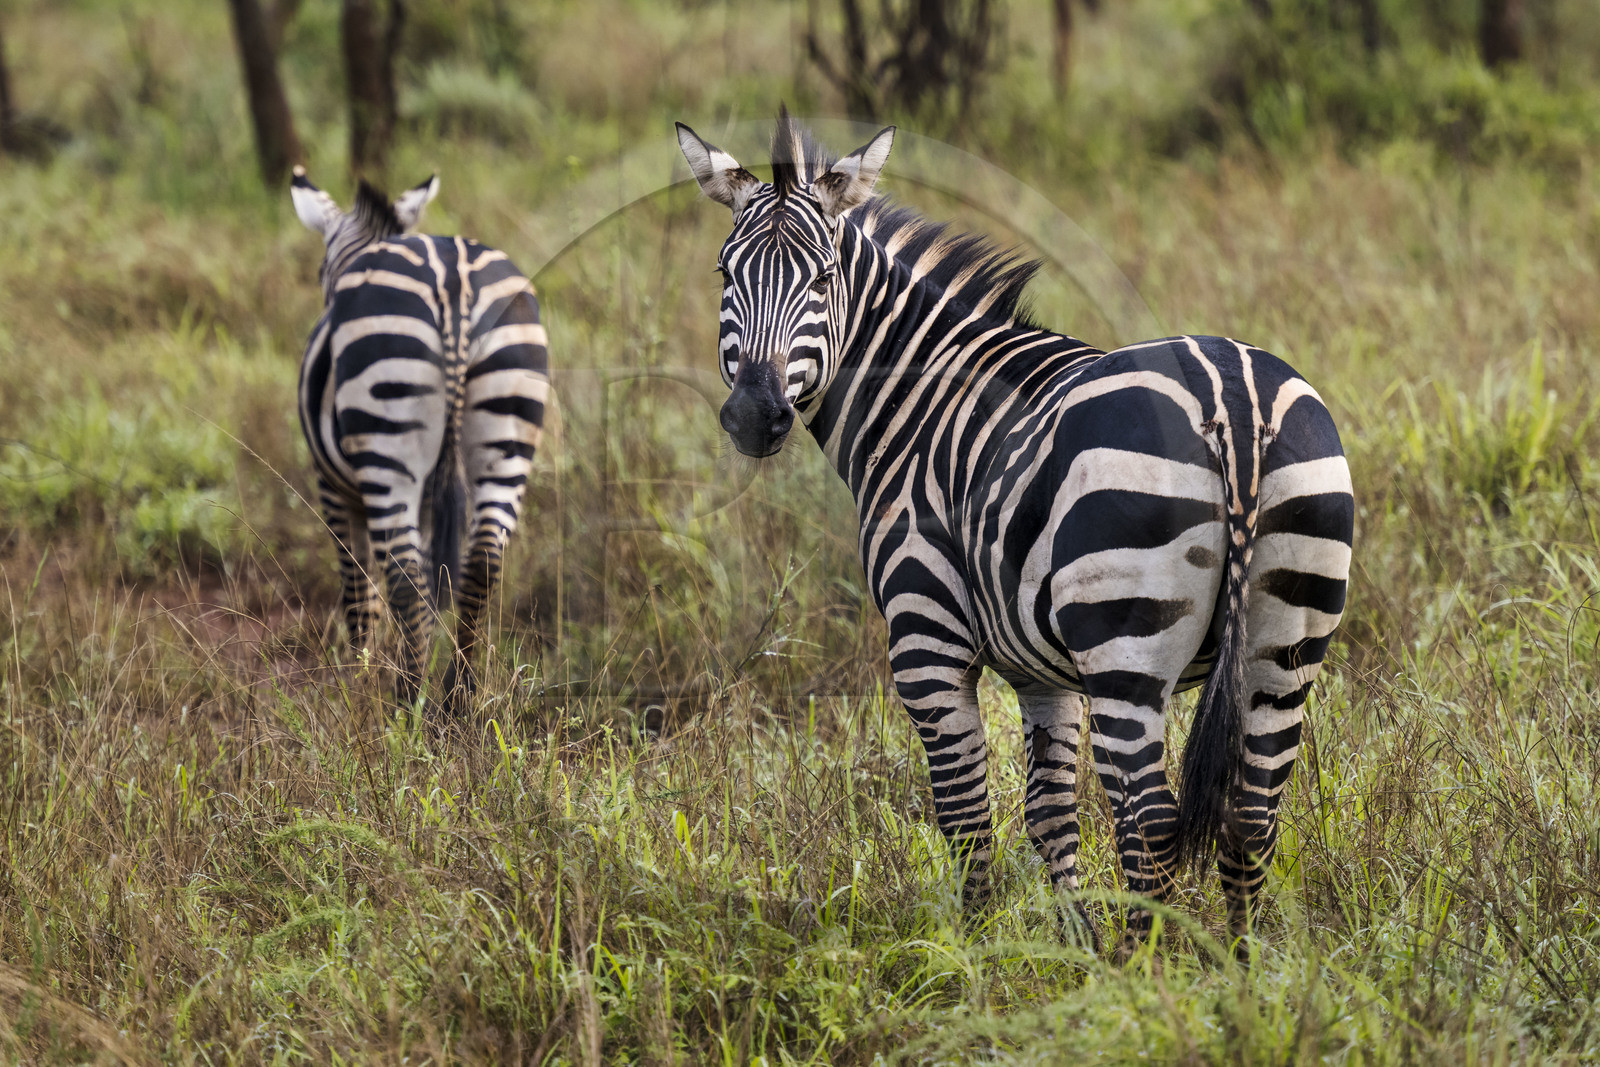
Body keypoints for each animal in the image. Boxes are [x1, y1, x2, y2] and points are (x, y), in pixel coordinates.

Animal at [291, 167, 548, 714]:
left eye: (320, 268)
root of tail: (454, 283)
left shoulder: (333, 486)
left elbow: (359, 589)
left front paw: (360, 681)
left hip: (389, 443)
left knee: (405, 576)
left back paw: (406, 701)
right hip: (509, 427)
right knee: (482, 562)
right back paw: (458, 698)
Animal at [676, 112, 1352, 948]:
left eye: (824, 279)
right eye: (723, 275)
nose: (753, 416)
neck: (919, 398)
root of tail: (1233, 398)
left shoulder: (927, 639)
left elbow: (967, 815)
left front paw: (970, 958)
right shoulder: (1041, 669)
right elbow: (1048, 815)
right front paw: (1072, 946)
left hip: (1127, 645)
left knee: (1150, 823)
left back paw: (1146, 971)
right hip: (1287, 636)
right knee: (1251, 819)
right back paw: (1241, 968)